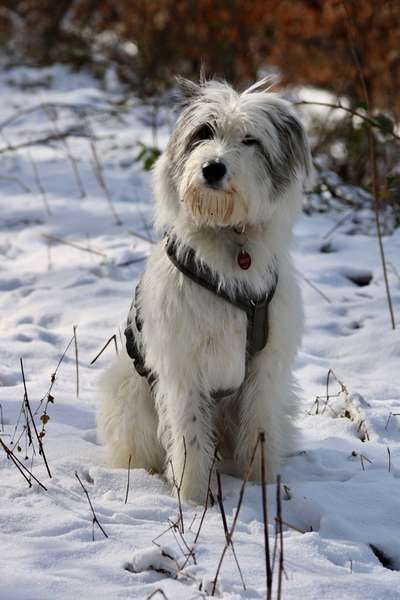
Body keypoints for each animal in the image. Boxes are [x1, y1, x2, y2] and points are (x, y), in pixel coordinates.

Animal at [96, 77, 310, 504]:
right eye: (204, 133)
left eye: (249, 139)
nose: (212, 168)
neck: (231, 242)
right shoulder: (183, 367)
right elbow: (190, 436)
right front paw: (193, 498)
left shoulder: (266, 368)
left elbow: (260, 425)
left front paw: (262, 488)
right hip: (129, 393)